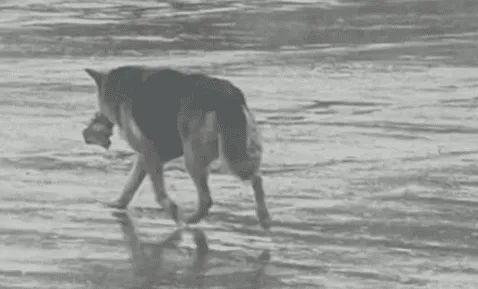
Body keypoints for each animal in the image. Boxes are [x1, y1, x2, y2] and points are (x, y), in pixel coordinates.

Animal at [80, 66, 270, 230]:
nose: (86, 132)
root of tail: (226, 95)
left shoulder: (150, 154)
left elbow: (158, 193)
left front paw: (172, 211)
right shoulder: (147, 155)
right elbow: (130, 185)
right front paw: (117, 205)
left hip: (195, 159)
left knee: (207, 198)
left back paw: (190, 221)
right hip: (234, 154)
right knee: (257, 178)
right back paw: (264, 217)